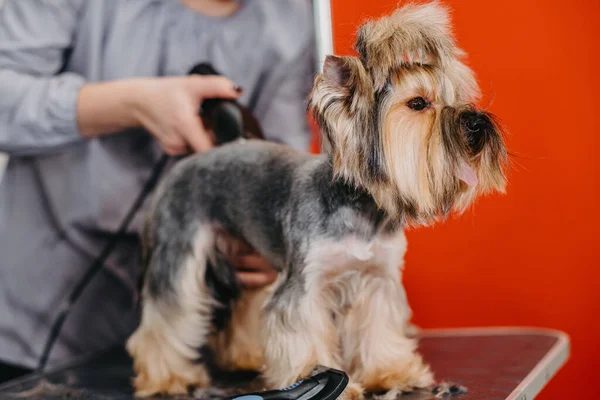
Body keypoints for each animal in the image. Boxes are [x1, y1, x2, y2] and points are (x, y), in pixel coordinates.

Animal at [125, 2, 506, 396]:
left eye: (457, 98)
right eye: (418, 103)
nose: (477, 123)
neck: (362, 209)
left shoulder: (376, 278)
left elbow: (379, 328)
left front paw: (390, 372)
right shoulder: (306, 283)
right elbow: (299, 328)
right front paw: (316, 377)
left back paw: (245, 356)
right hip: (178, 243)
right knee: (168, 313)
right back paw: (167, 377)